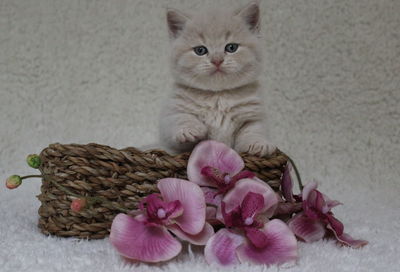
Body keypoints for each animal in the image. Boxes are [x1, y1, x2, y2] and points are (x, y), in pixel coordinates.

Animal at [159, 1, 276, 157]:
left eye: (231, 47)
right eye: (200, 50)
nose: (217, 60)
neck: (218, 96)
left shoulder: (254, 116)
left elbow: (254, 130)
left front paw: (258, 144)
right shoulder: (172, 113)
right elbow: (180, 118)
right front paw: (189, 130)